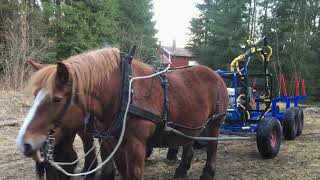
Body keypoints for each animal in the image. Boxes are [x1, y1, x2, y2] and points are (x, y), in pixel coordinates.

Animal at [16, 47, 228, 179]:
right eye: (35, 95)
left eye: (57, 99)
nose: (24, 143)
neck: (124, 92)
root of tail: (216, 74)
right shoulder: (112, 143)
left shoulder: (136, 146)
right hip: (191, 124)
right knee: (189, 142)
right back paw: (182, 169)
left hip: (215, 123)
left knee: (212, 147)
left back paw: (207, 173)